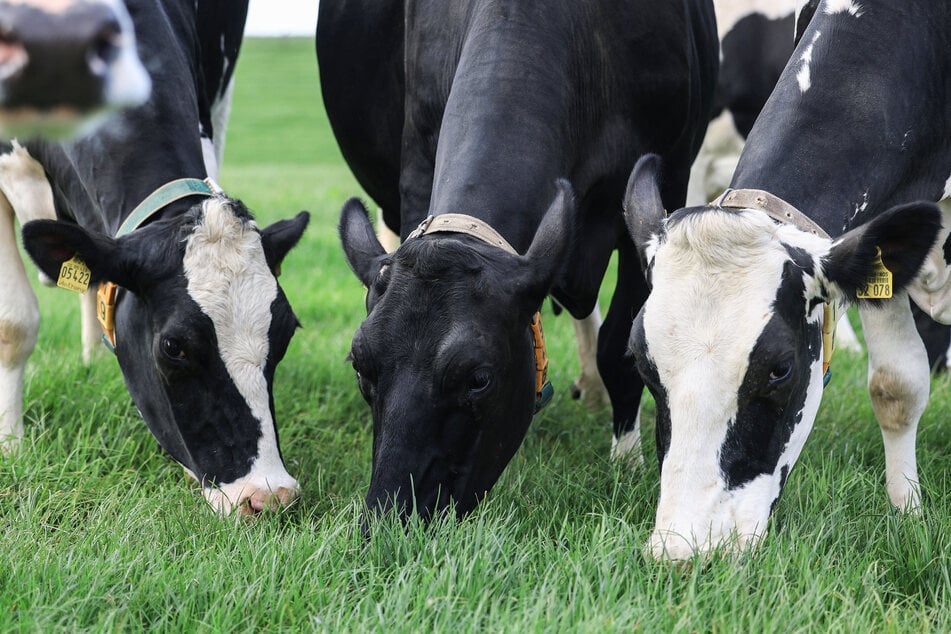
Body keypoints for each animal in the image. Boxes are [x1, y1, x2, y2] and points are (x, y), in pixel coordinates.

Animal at [320, 0, 712, 520]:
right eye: (361, 367)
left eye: (479, 379)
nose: (390, 515)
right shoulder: (417, 160)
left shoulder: (665, 180)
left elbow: (621, 346)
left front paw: (628, 463)